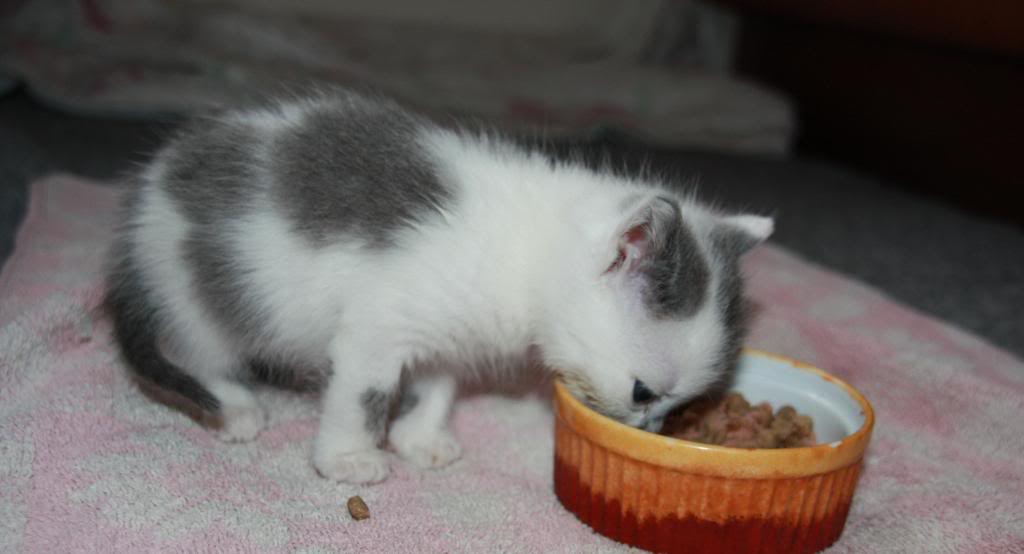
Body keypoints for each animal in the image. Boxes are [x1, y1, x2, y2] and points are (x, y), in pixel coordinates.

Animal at [105, 87, 774, 483]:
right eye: (643, 393)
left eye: (676, 408)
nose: (648, 431)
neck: (525, 248)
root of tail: (147, 191)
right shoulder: (377, 325)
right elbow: (363, 392)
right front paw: (349, 458)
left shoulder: (451, 328)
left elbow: (442, 381)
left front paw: (420, 437)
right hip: (191, 285)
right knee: (199, 351)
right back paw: (237, 406)